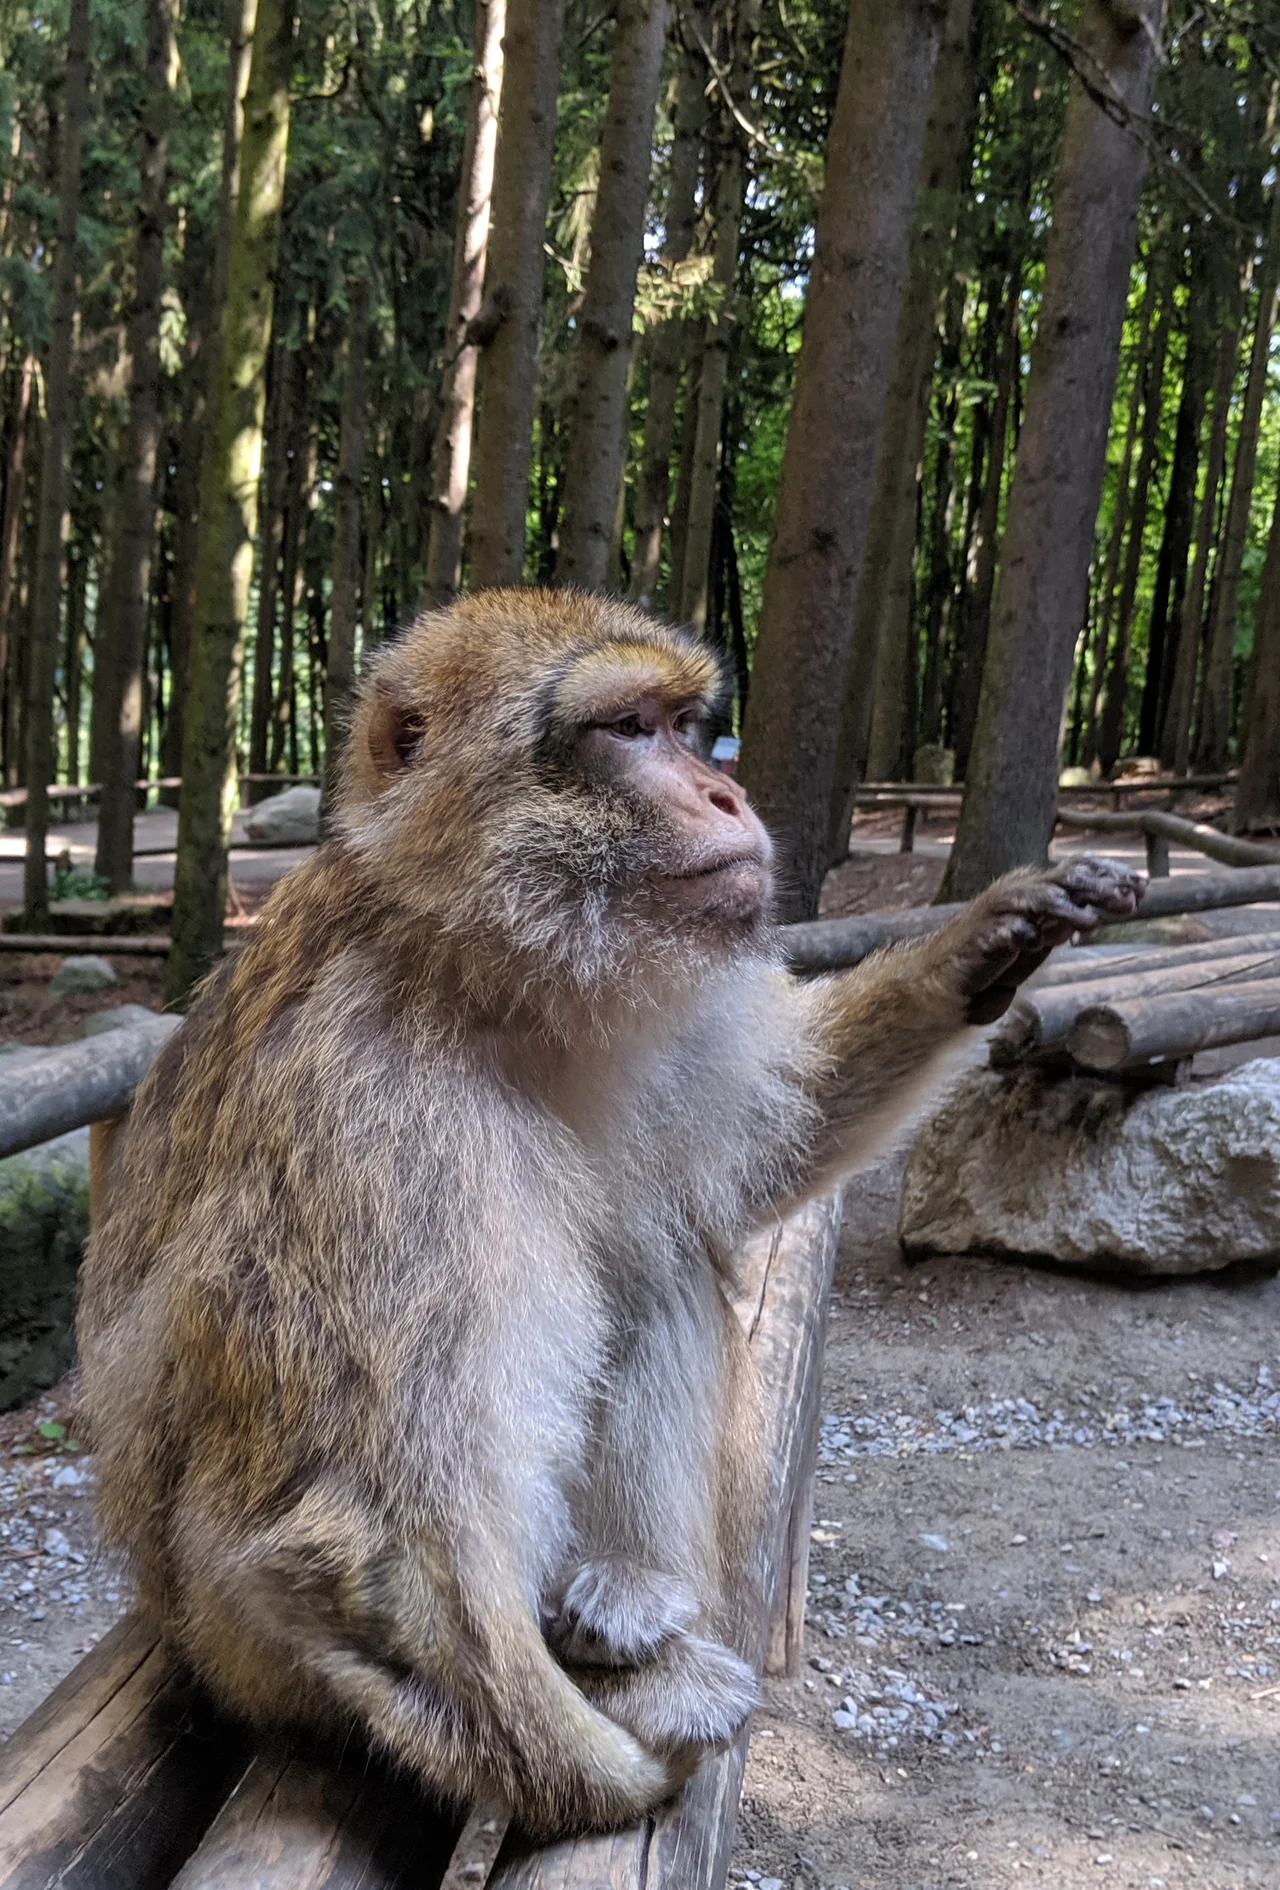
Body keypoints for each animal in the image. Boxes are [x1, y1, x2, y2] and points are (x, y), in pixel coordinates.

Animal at [76, 588, 1143, 1839]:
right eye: (626, 730)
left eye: (687, 728)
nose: (727, 796)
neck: (480, 974)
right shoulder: (366, 1115)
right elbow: (348, 1519)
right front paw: (590, 1774)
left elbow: (766, 1144)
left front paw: (985, 940)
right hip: (241, 1648)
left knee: (656, 1266)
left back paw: (628, 1590)